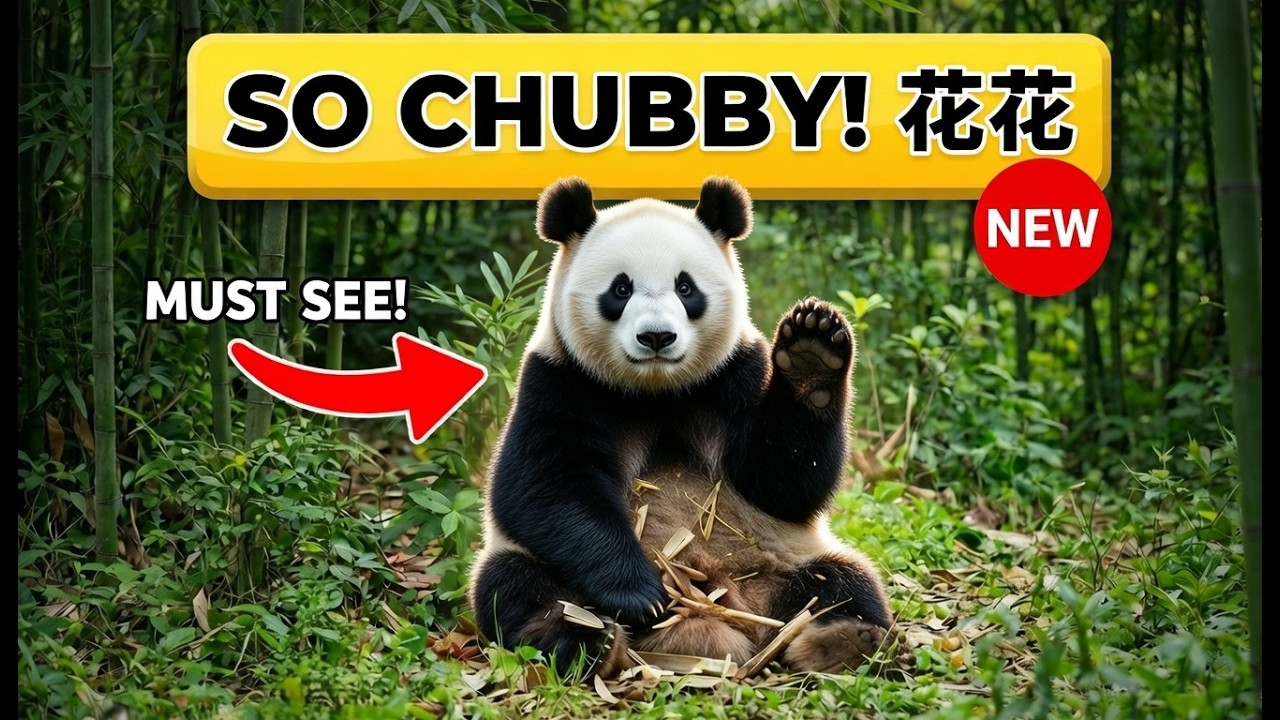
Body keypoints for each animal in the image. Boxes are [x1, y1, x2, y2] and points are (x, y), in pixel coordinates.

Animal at [467, 176, 897, 677]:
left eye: (686, 287)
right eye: (620, 288)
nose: (656, 336)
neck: (658, 390)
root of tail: (713, 613)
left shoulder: (736, 373)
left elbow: (782, 483)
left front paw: (812, 351)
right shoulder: (559, 380)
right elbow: (545, 485)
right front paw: (640, 595)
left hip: (783, 560)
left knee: (840, 583)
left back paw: (845, 639)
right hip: (527, 562)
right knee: (516, 586)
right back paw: (586, 638)